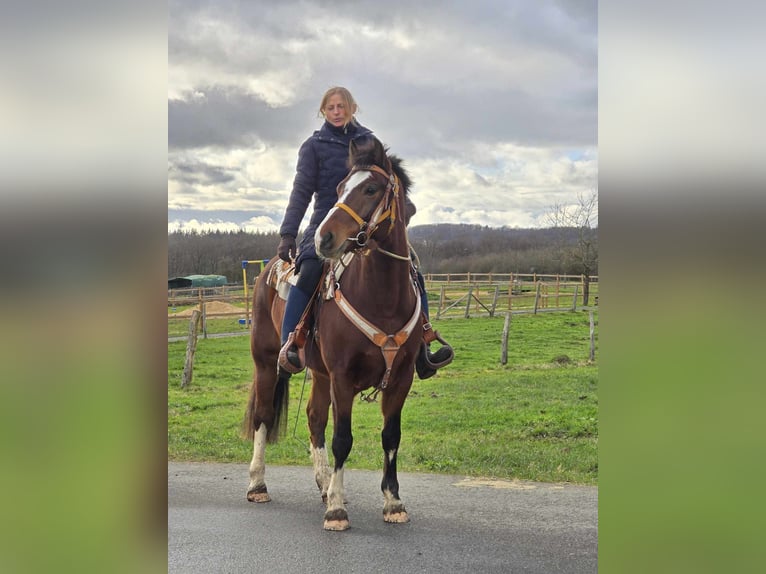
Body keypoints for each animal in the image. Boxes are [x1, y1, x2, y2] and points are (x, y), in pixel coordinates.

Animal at [243, 135, 424, 532]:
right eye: (340, 188)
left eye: (370, 189)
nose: (325, 238)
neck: (382, 298)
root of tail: (269, 268)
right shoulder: (342, 376)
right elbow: (343, 438)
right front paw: (338, 510)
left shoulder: (400, 378)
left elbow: (391, 436)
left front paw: (392, 502)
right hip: (267, 363)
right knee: (263, 416)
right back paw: (258, 484)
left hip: (320, 374)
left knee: (314, 417)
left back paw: (324, 484)